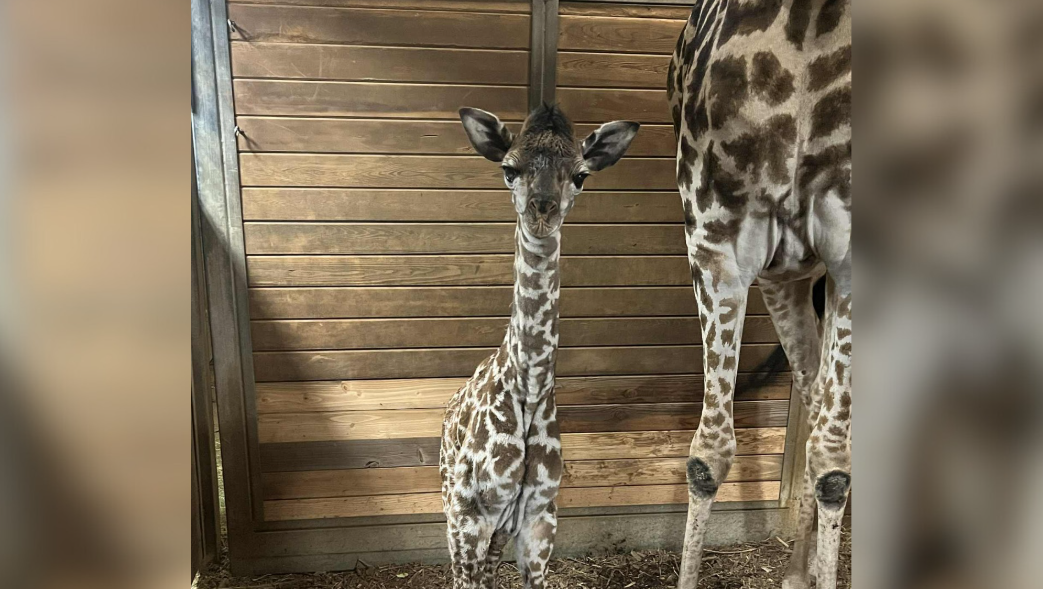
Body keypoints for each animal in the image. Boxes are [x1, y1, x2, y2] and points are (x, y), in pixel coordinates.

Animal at [440, 104, 639, 589]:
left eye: (581, 175)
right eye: (509, 169)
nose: (542, 210)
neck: (528, 391)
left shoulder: (539, 520)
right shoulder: (469, 517)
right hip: (451, 505)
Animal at [666, 1, 851, 588]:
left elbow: (834, 464)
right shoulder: (717, 250)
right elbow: (708, 455)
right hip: (785, 278)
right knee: (811, 391)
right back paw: (796, 568)